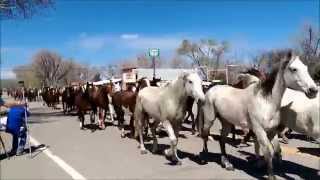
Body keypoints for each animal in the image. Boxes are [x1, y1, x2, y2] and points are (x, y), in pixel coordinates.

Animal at [201, 51, 316, 180]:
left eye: (306, 67)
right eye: (294, 69)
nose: (313, 90)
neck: (265, 101)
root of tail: (212, 89)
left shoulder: (271, 131)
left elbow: (274, 150)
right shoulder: (259, 130)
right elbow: (268, 152)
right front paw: (271, 176)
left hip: (226, 122)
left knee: (222, 140)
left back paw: (227, 164)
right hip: (209, 119)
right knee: (205, 135)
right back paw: (204, 157)